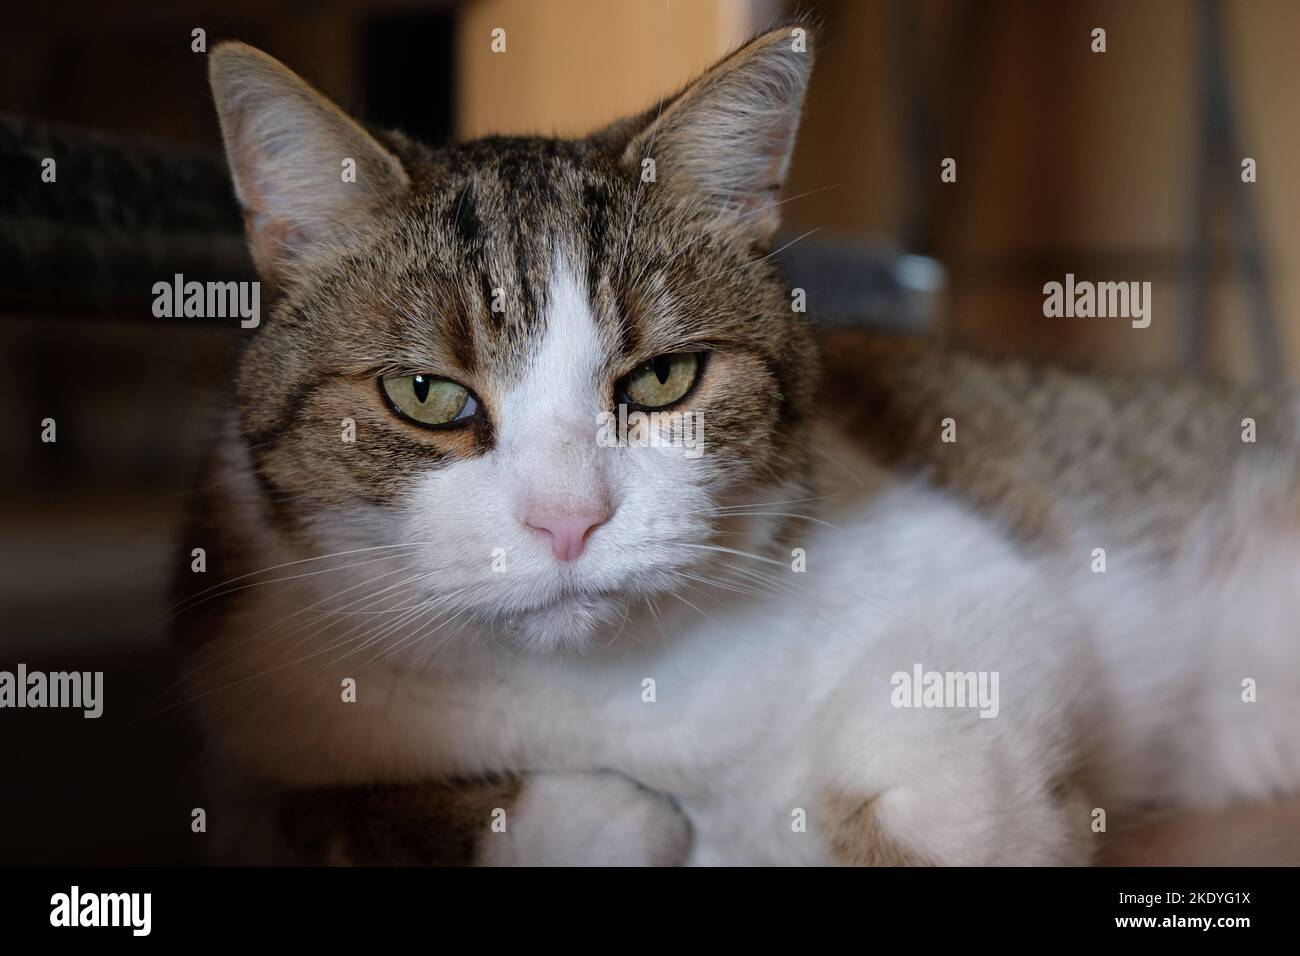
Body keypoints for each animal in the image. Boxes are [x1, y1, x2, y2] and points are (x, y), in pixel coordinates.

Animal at [175, 22, 1300, 863]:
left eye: (663, 379)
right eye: (426, 394)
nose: (568, 521)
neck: (607, 692)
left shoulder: (977, 577)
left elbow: (947, 769)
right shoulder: (260, 711)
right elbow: (355, 816)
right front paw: (625, 819)